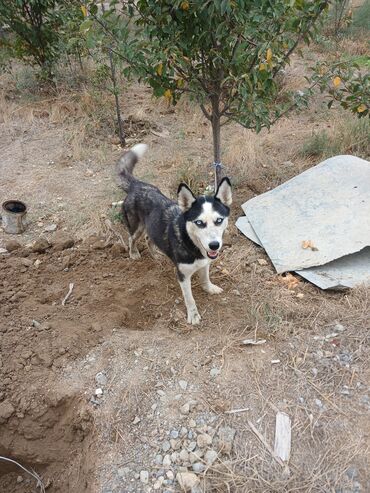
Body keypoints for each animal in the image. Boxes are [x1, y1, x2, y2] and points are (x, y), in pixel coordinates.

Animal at [116, 144, 231, 324]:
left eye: (219, 220)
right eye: (199, 223)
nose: (214, 245)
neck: (191, 243)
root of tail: (137, 185)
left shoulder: (205, 263)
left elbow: (205, 278)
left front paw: (209, 288)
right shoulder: (182, 275)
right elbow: (189, 298)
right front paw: (193, 315)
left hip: (151, 226)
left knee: (149, 238)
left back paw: (155, 255)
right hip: (136, 227)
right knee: (131, 238)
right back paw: (133, 253)